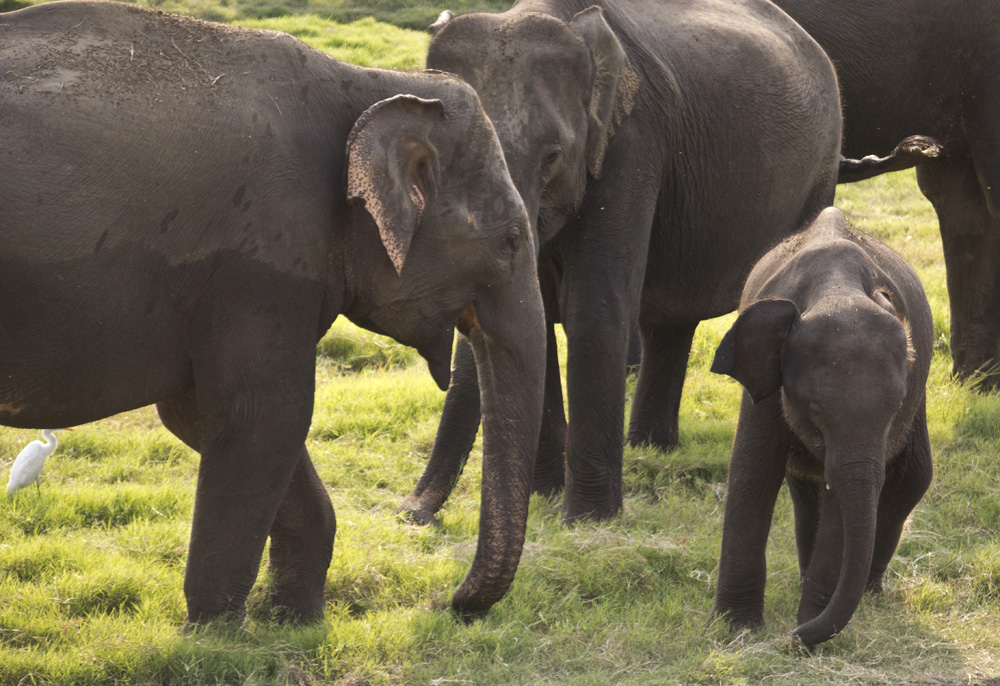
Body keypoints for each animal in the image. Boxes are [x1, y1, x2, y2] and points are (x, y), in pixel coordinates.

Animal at [1, 0, 548, 624]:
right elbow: (266, 414)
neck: (364, 83)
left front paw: (293, 619)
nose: (447, 602)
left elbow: (200, 414)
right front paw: (217, 630)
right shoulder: (262, 262)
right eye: (510, 241)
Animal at [398, 0, 844, 524]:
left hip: (823, 168)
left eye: (552, 156)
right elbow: (534, 316)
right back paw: (652, 449)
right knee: (670, 321)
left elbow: (592, 308)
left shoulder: (630, 146)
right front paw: (544, 496)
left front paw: (587, 519)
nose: (411, 514)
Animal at [712, 207, 928, 648]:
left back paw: (867, 594)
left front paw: (807, 630)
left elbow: (845, 504)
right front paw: (735, 630)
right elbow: (753, 471)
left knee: (912, 477)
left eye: (897, 407)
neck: (837, 286)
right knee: (805, 486)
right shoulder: (766, 379)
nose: (791, 637)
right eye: (814, 408)